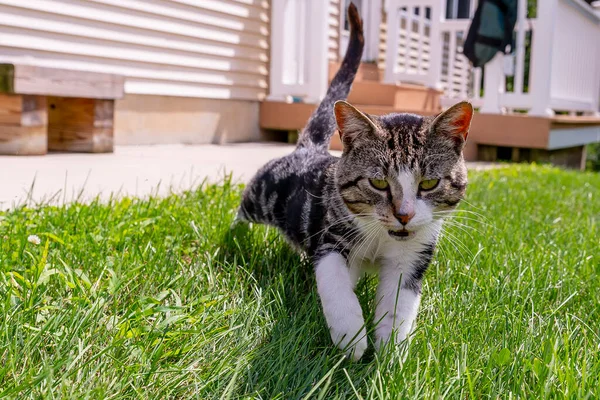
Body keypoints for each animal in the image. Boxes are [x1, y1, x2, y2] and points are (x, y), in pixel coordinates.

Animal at [237, 3, 472, 360]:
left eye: (430, 184)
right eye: (378, 183)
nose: (404, 215)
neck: (381, 238)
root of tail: (309, 147)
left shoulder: (413, 255)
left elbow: (399, 303)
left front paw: (390, 350)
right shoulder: (331, 236)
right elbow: (334, 282)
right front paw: (351, 336)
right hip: (261, 193)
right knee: (242, 212)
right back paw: (237, 238)